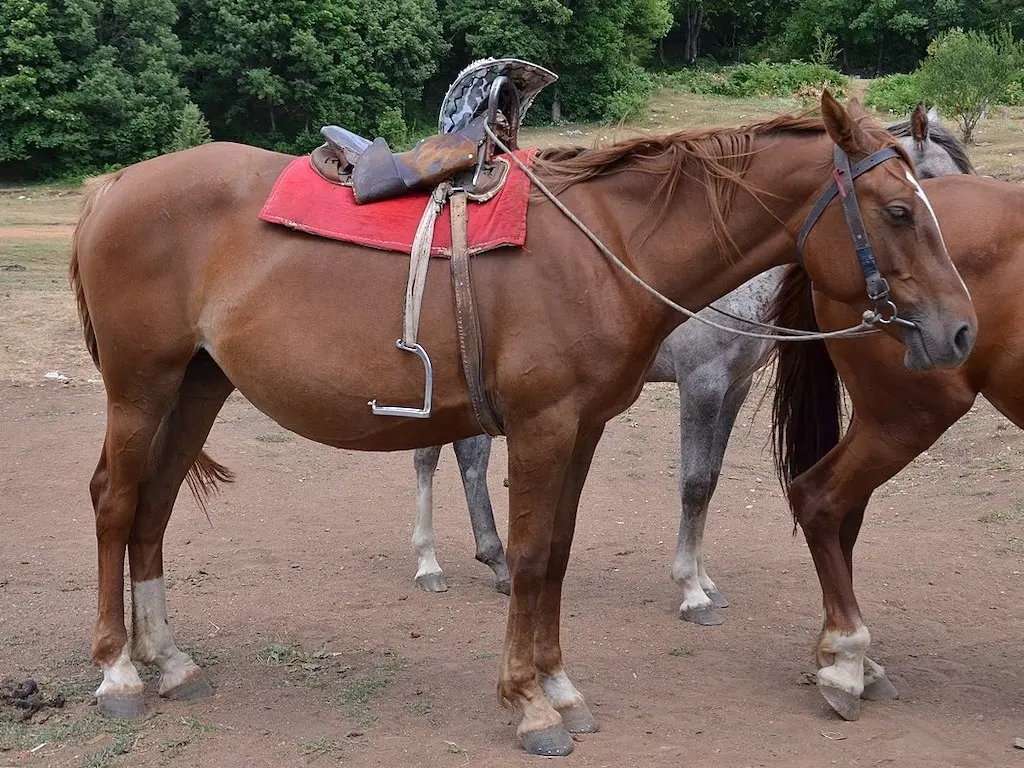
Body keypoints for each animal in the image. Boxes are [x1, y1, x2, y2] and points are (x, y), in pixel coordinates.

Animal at [405, 107, 966, 626]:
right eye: (906, 204)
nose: (958, 320)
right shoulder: (702, 384)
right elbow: (694, 482)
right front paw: (691, 592)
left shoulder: (735, 386)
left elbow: (711, 477)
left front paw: (704, 579)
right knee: (432, 458)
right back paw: (430, 563)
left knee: (464, 456)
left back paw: (494, 561)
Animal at [770, 176, 1019, 729]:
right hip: (907, 417)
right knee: (819, 498)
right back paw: (846, 663)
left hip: (882, 419)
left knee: (843, 512)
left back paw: (846, 658)